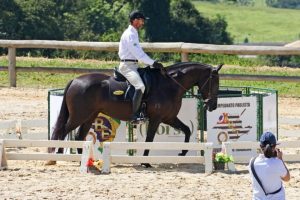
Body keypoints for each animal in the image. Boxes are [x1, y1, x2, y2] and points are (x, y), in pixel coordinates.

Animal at [49, 62, 223, 164]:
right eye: (215, 82)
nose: (213, 105)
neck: (169, 85)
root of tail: (75, 80)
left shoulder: (169, 117)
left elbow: (186, 130)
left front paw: (183, 152)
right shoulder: (157, 119)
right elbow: (149, 139)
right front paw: (145, 161)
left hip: (89, 116)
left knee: (79, 136)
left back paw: (84, 160)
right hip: (79, 116)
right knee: (63, 131)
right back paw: (57, 156)